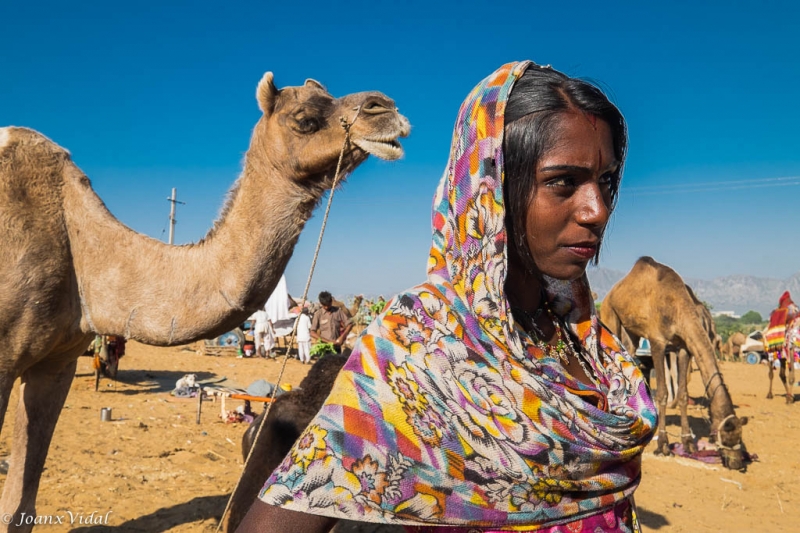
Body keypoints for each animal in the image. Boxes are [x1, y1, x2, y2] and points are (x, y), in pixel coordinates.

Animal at [600, 258, 752, 470]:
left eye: (740, 435)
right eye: (728, 434)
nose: (737, 463)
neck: (678, 306)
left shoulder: (683, 347)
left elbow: (683, 394)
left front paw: (688, 442)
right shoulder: (657, 342)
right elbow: (662, 393)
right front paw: (663, 445)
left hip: (631, 333)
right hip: (610, 315)